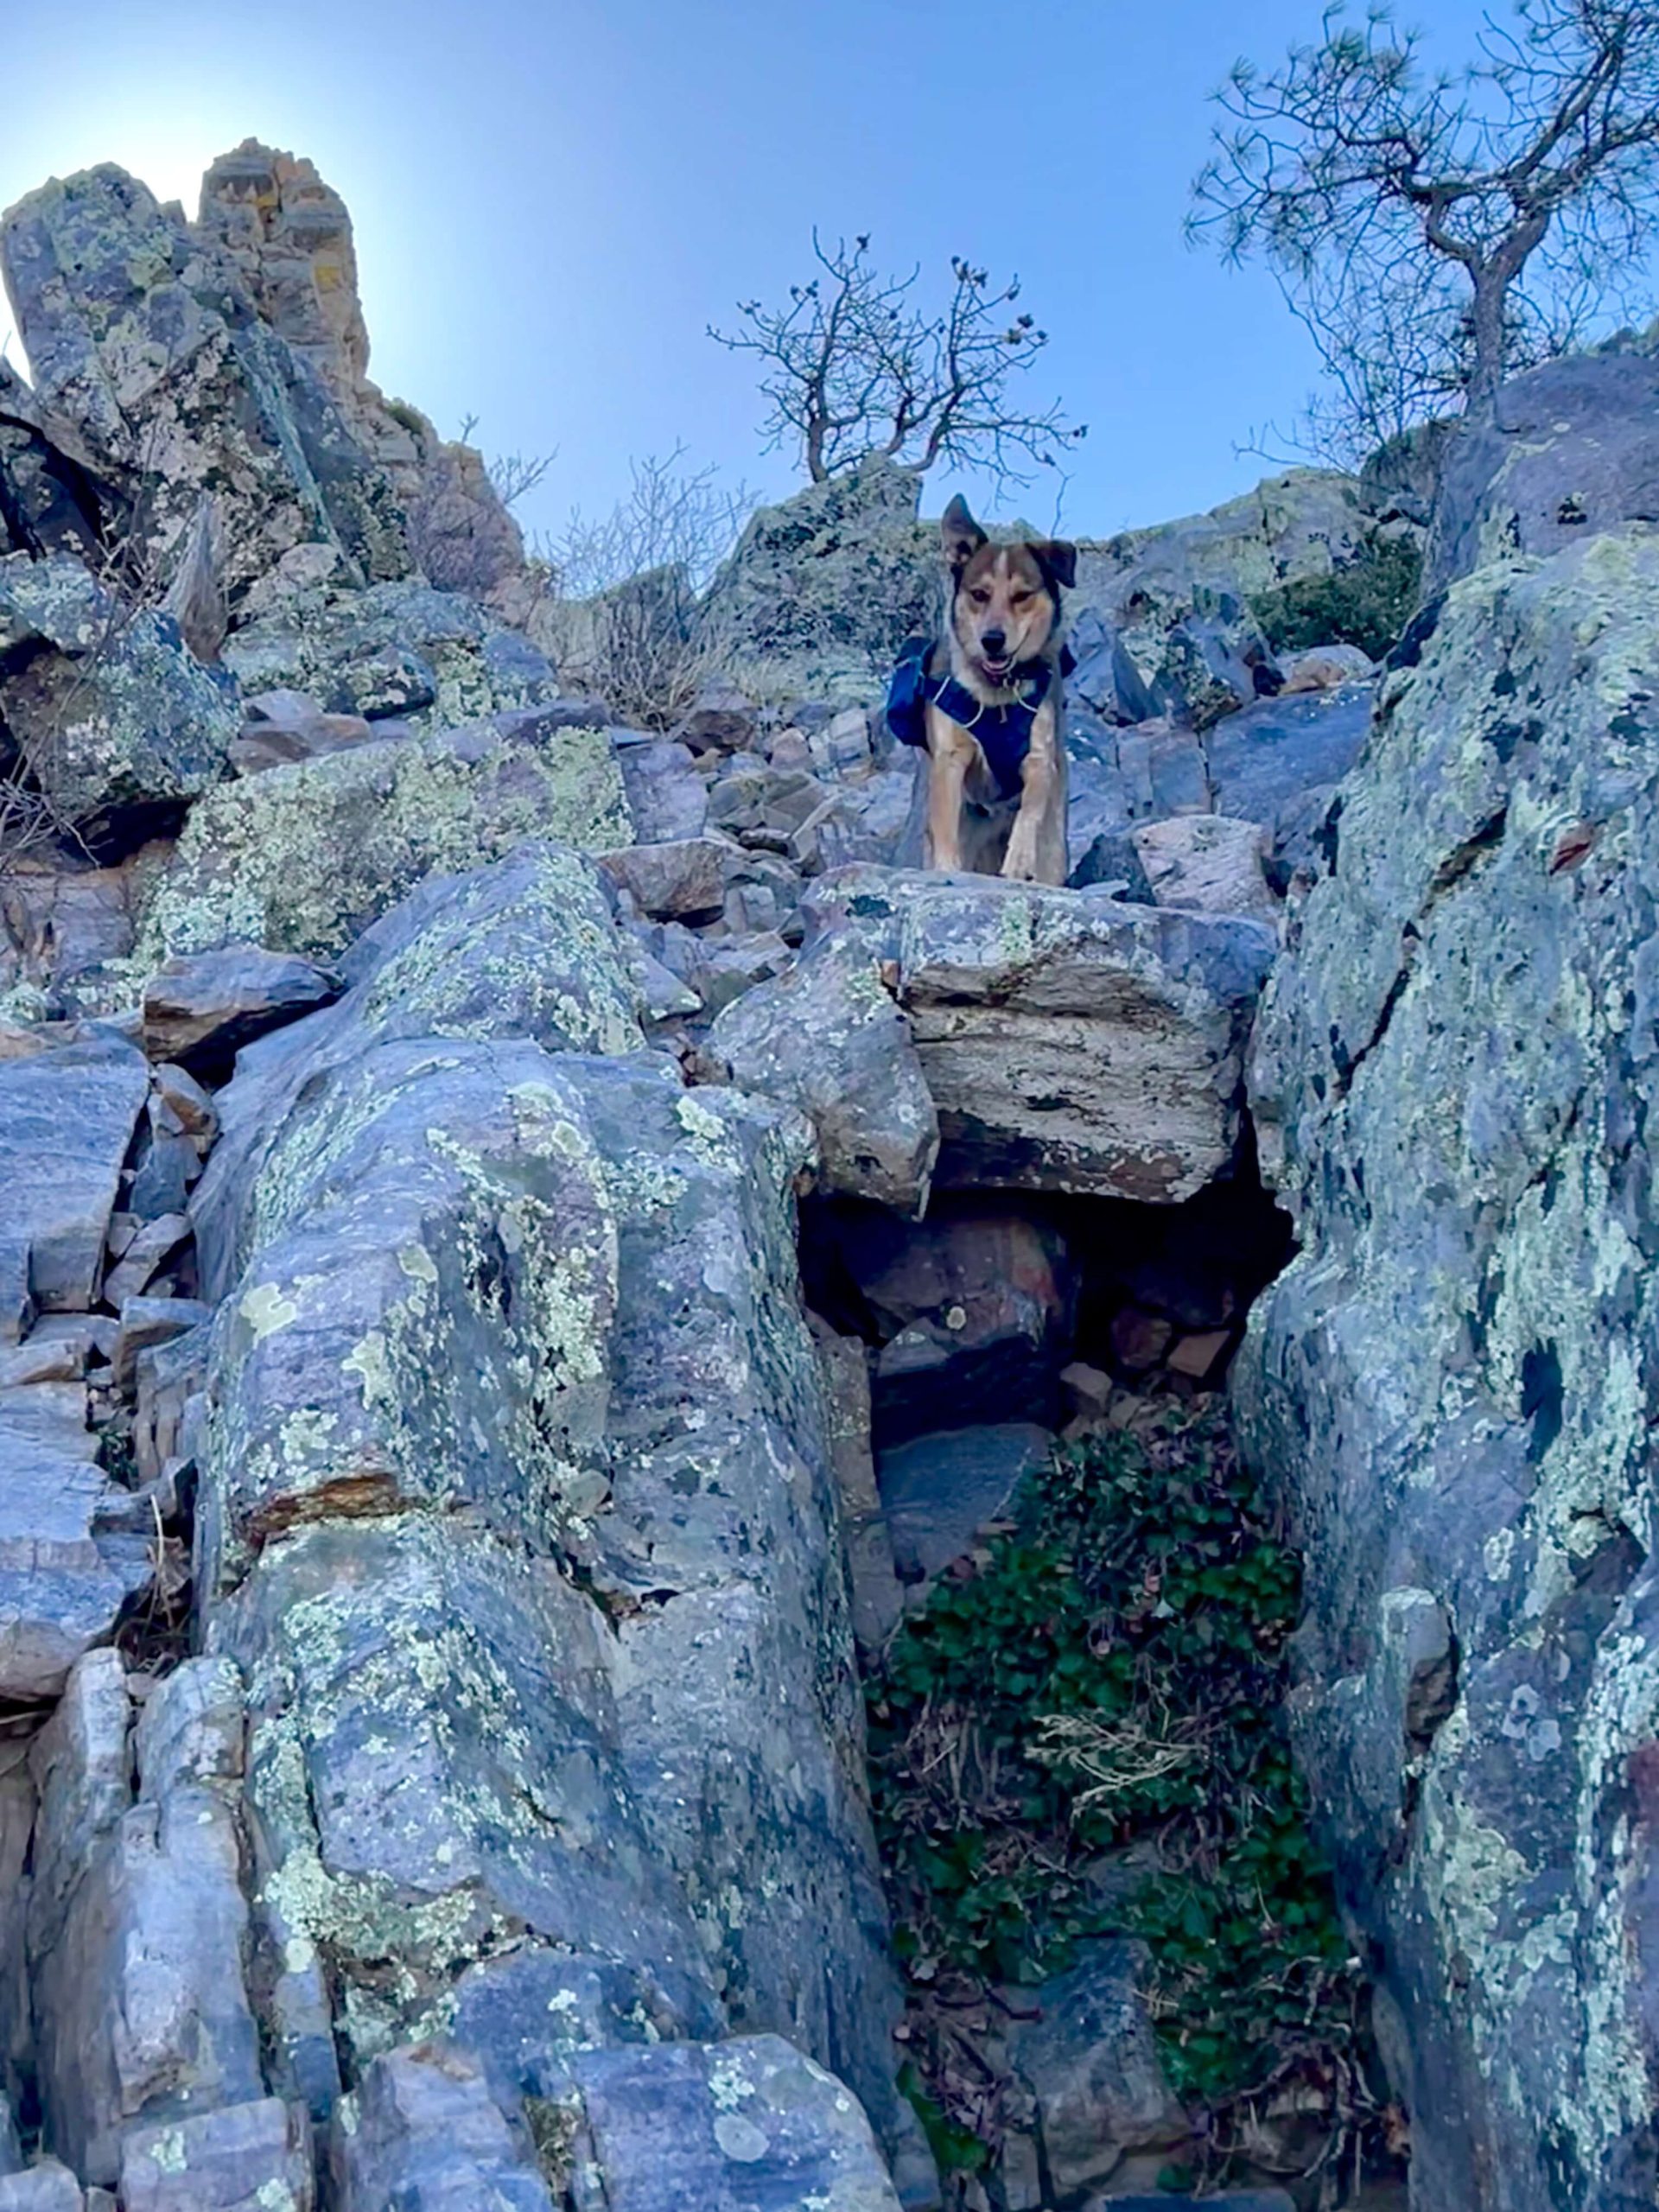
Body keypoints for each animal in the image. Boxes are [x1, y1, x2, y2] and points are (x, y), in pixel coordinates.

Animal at [889, 498, 1084, 885]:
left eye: (1022, 596)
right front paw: (947, 869)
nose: (992, 640)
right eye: (979, 595)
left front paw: (1019, 861)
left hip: (1055, 846)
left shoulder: (1038, 757)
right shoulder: (950, 758)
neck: (999, 694)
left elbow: (1029, 811)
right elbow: (945, 825)